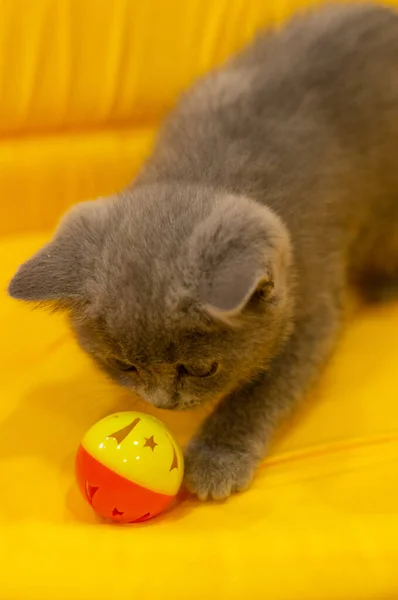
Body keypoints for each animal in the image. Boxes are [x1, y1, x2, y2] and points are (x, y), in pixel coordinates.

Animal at [7, 2, 398, 500]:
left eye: (202, 369)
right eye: (123, 365)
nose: (163, 404)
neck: (211, 166)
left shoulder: (313, 301)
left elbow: (264, 388)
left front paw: (216, 458)